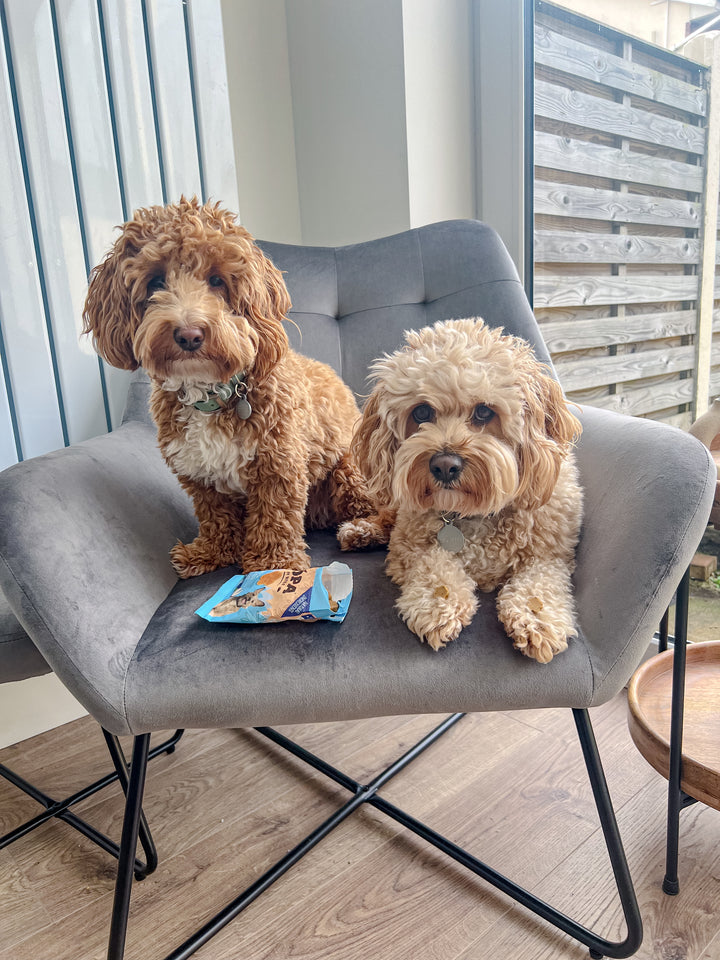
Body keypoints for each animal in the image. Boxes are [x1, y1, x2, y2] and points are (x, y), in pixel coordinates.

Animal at [83, 191, 374, 572]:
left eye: (217, 280)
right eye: (156, 281)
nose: (189, 334)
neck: (211, 392)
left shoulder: (277, 464)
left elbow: (273, 517)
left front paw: (271, 566)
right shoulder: (198, 472)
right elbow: (215, 514)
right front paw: (213, 552)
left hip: (348, 469)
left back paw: (363, 530)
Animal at [340, 318, 584, 664]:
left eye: (484, 412)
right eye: (421, 412)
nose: (444, 465)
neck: (470, 514)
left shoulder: (552, 556)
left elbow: (540, 584)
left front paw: (537, 619)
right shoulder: (407, 548)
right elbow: (435, 563)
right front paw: (438, 604)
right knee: (385, 517)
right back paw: (360, 531)